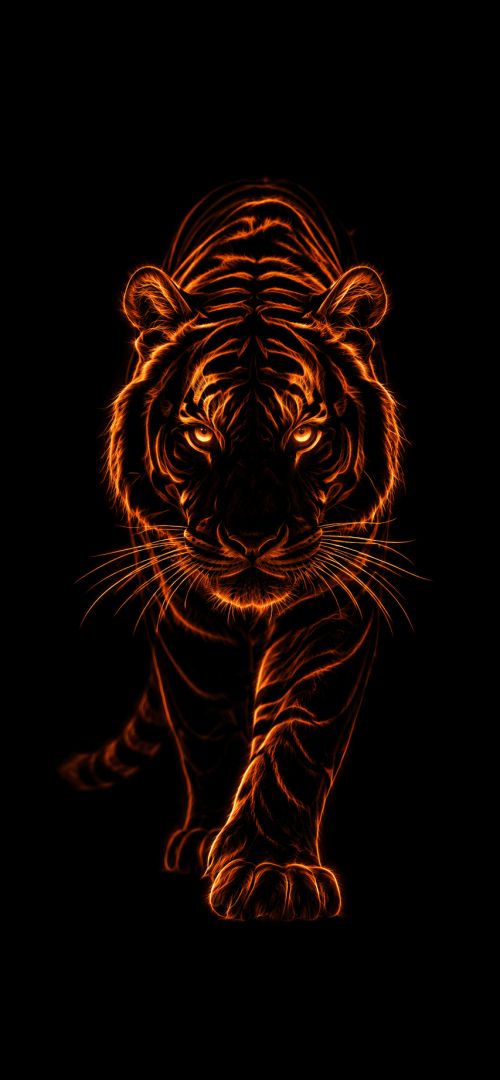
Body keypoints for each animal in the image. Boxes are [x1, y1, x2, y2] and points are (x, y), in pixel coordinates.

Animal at [61, 180, 404, 921]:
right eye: (199, 433)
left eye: (304, 434)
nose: (251, 537)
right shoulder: (185, 610)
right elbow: (207, 723)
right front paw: (205, 842)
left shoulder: (332, 605)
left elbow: (297, 735)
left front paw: (270, 869)